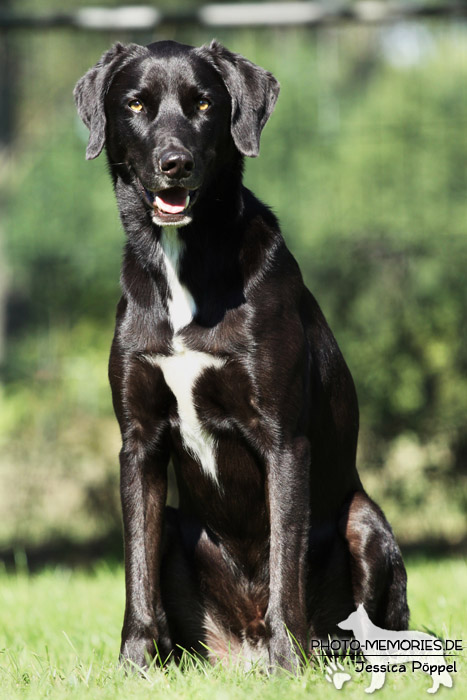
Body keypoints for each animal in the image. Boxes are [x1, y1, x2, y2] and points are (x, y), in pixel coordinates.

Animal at [74, 39, 410, 672]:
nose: (174, 162)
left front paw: (289, 666)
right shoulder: (139, 442)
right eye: (136, 104)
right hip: (179, 529)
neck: (183, 262)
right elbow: (137, 573)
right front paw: (133, 667)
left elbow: (284, 560)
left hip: (365, 522)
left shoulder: (282, 440)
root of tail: (239, 647)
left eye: (204, 103)